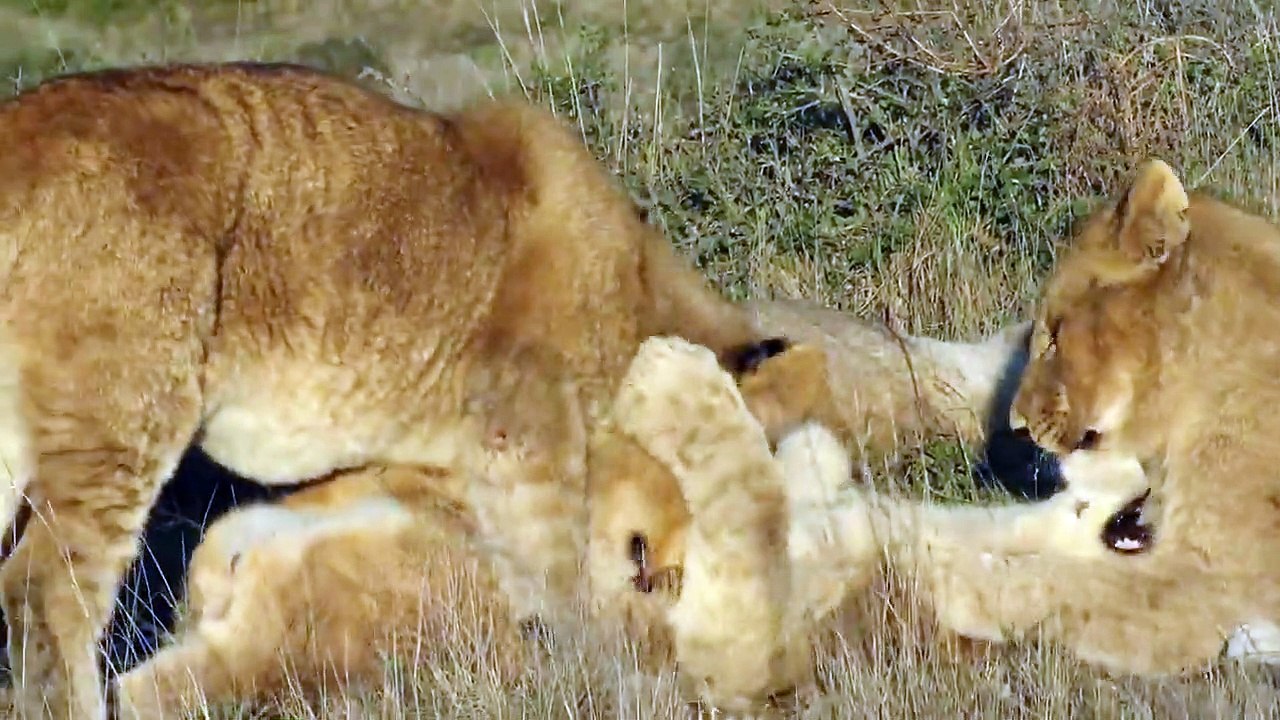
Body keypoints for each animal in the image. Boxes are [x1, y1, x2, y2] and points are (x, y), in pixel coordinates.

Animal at [0, 60, 805, 719]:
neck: (639, 287)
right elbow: (560, 565)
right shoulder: (526, 434)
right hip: (125, 415)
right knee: (44, 591)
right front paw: (592, 667)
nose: (661, 579)